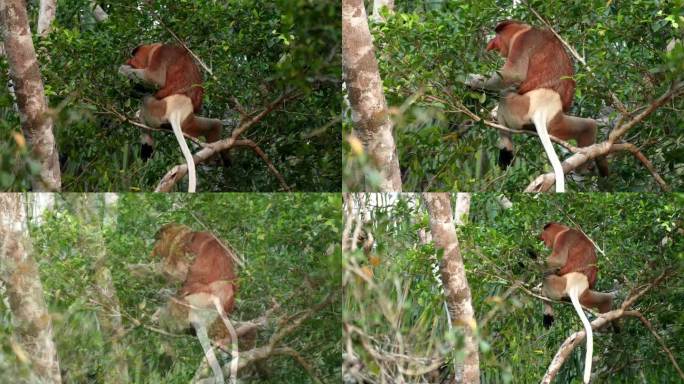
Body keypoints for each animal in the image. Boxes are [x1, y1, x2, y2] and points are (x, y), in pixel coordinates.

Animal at [470, 21, 608, 192]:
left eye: (498, 35)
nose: (491, 43)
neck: (524, 29)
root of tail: (544, 108)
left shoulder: (522, 41)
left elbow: (513, 74)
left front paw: (474, 81)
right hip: (556, 122)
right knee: (588, 126)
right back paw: (584, 168)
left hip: (520, 107)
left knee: (505, 96)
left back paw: (506, 151)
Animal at [540, 224, 616, 382]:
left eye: (544, 234)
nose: (540, 238)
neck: (564, 229)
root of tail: (577, 283)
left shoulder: (563, 238)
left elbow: (558, 260)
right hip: (586, 295)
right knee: (606, 299)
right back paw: (605, 327)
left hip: (560, 284)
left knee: (547, 277)